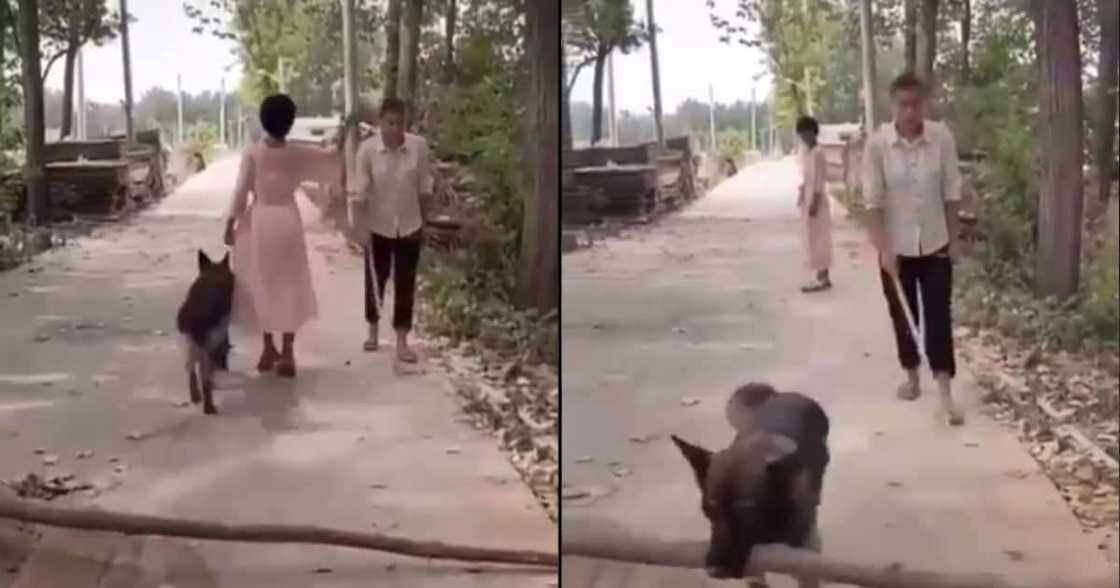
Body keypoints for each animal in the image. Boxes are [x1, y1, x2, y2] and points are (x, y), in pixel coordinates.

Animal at [174, 249, 234, 414]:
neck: (213, 271)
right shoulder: (218, 336)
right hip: (203, 346)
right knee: (204, 377)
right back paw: (209, 407)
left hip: (187, 343)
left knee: (190, 370)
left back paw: (196, 397)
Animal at [667, 383, 828, 582]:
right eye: (710, 507)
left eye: (746, 510)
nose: (714, 571)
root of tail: (781, 395)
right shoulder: (754, 572)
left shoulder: (805, 562)